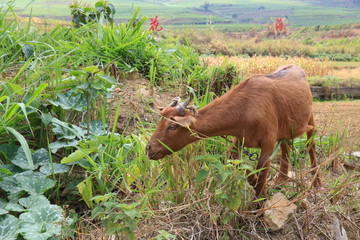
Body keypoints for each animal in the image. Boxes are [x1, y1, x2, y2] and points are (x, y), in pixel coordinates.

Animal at [148, 64, 322, 197]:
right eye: (160, 122)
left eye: (172, 126)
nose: (149, 149)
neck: (247, 106)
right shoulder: (239, 139)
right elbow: (245, 170)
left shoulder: (268, 143)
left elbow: (261, 174)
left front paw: (260, 205)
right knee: (286, 147)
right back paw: (281, 179)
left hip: (310, 118)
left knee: (311, 146)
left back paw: (317, 183)